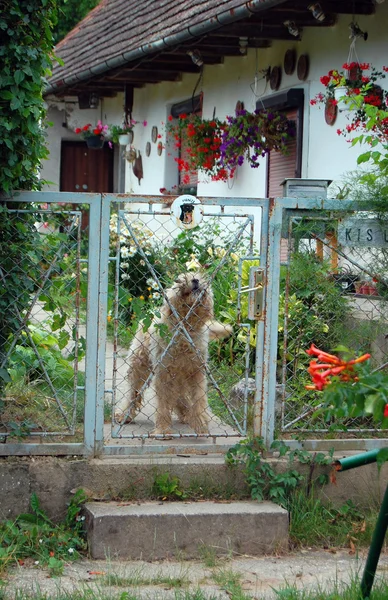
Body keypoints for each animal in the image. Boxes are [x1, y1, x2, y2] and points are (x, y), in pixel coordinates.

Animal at [113, 274, 232, 436]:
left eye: (197, 276)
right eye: (182, 277)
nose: (195, 280)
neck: (184, 330)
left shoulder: (196, 371)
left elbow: (199, 398)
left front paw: (200, 423)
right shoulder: (163, 373)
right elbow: (163, 404)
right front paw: (162, 429)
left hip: (179, 376)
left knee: (180, 396)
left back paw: (187, 414)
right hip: (138, 364)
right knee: (132, 392)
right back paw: (124, 415)